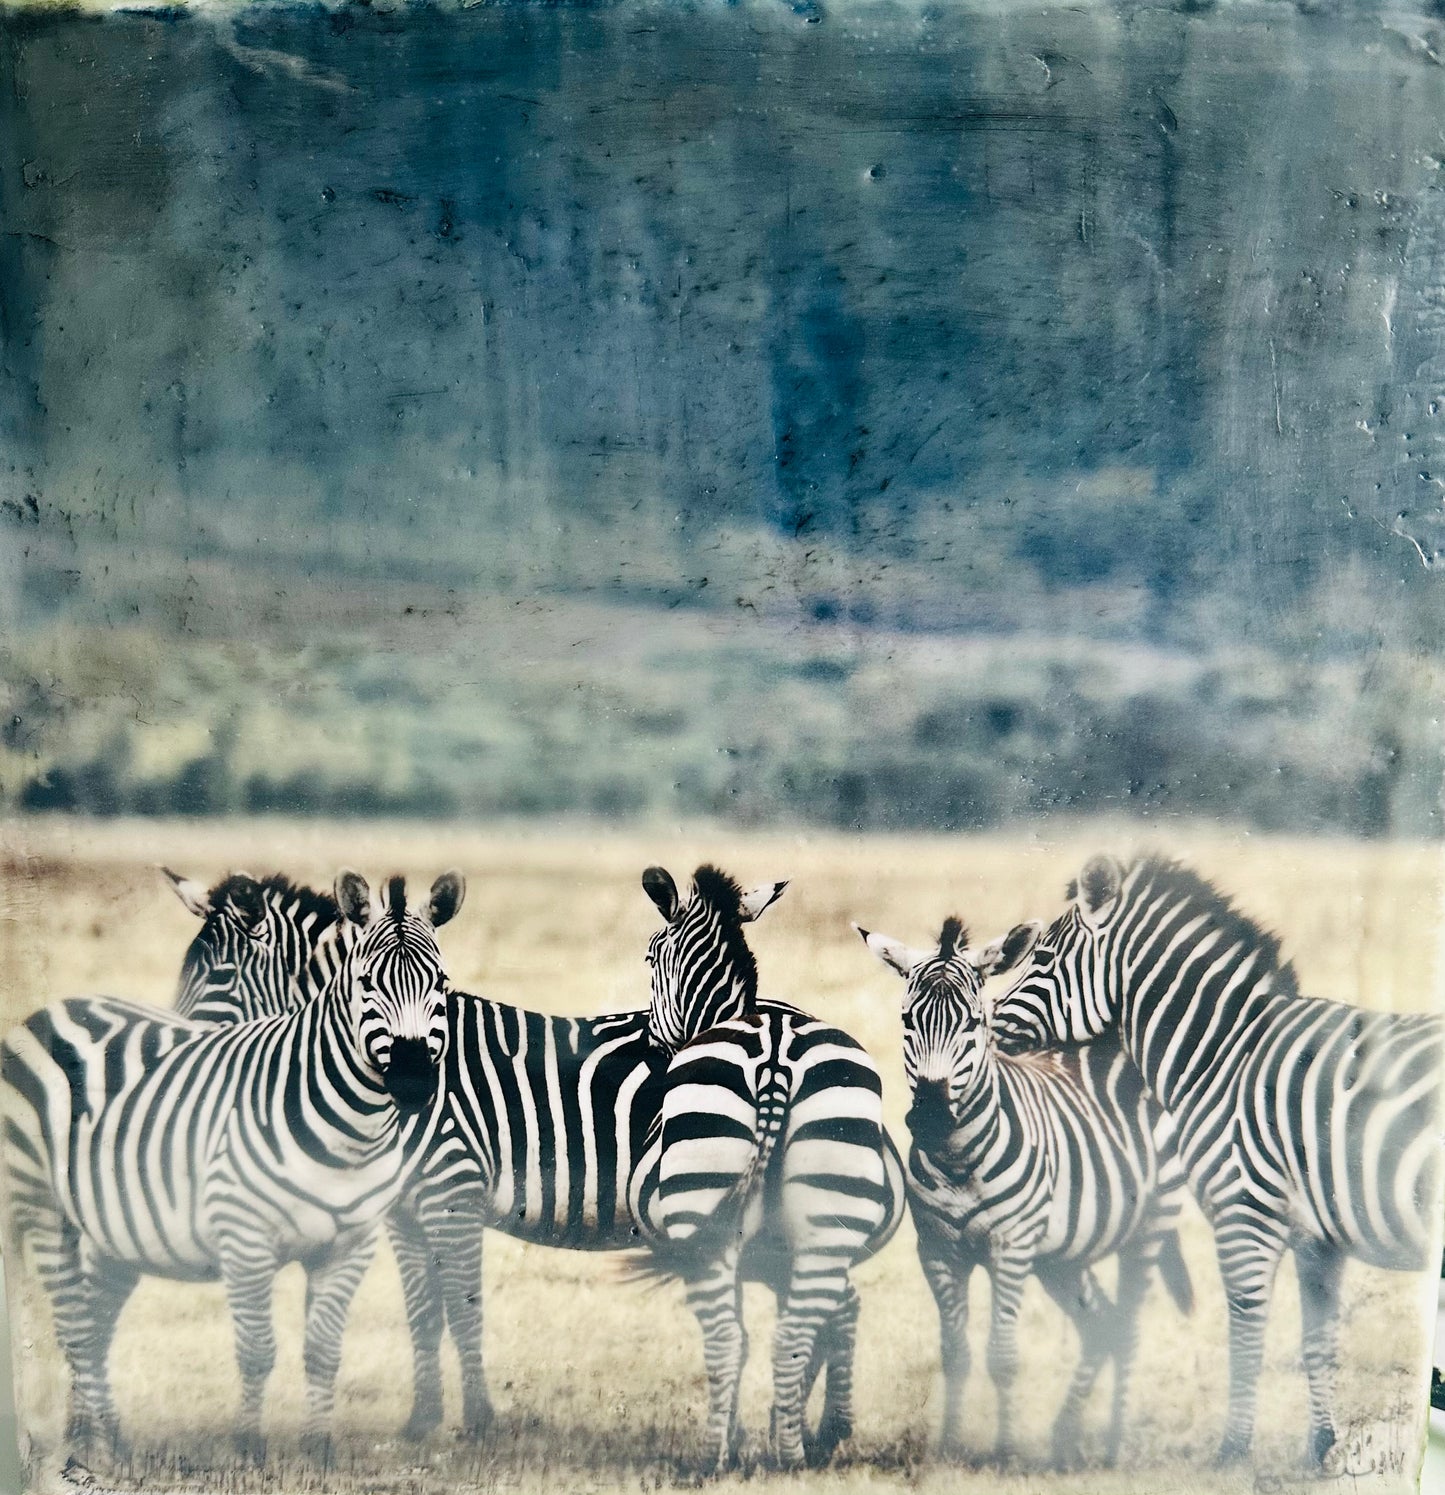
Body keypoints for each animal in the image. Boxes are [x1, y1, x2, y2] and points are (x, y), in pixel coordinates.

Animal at [0, 870, 462, 1462]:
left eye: (441, 985)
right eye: (365, 984)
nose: (413, 1081)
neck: (349, 1126)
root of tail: (51, 1010)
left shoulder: (352, 1243)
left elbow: (323, 1349)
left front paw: (319, 1448)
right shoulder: (246, 1236)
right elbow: (258, 1349)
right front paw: (248, 1446)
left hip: (116, 1222)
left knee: (96, 1317)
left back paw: (100, 1437)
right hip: (40, 1207)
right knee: (76, 1323)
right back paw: (94, 1446)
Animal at [630, 864, 906, 1472]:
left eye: (649, 957)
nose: (650, 1046)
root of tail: (776, 1052)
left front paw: (745, 1434)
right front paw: (801, 1425)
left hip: (703, 1221)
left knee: (726, 1339)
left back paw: (712, 1459)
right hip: (826, 1215)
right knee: (795, 1335)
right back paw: (793, 1453)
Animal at [855, 914, 1194, 1467]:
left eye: (973, 1023)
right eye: (907, 1020)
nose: (930, 1117)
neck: (958, 1160)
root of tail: (1113, 1046)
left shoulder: (1010, 1248)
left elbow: (1003, 1356)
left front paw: (1006, 1451)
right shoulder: (937, 1250)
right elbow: (954, 1354)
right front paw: (947, 1448)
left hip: (1148, 1226)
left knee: (1126, 1329)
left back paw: (1113, 1444)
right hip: (1061, 1257)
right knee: (1099, 1326)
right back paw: (1064, 1437)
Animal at [989, 852, 1445, 1469]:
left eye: (1040, 958)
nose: (987, 1023)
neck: (1225, 1057)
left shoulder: (1243, 1214)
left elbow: (1246, 1334)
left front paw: (1232, 1450)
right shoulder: (1317, 1240)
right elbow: (1317, 1343)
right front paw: (1319, 1450)